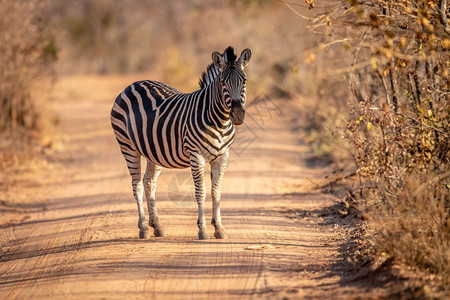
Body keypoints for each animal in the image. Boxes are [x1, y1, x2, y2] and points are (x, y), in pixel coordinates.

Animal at [110, 46, 251, 239]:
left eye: (244, 81)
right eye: (223, 82)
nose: (237, 115)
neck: (219, 120)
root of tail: (133, 84)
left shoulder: (222, 156)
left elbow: (216, 192)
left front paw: (219, 228)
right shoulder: (196, 155)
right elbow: (201, 192)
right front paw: (203, 229)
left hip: (153, 151)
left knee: (148, 182)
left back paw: (157, 225)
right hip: (127, 146)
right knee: (136, 185)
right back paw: (144, 228)